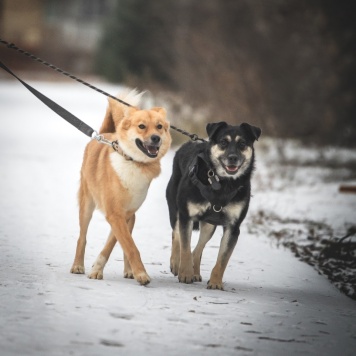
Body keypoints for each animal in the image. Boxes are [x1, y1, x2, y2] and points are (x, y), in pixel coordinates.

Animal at [70, 90, 172, 286]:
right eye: (142, 126)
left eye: (159, 126)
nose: (156, 138)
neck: (133, 162)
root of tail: (103, 134)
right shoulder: (114, 214)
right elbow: (131, 247)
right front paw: (142, 274)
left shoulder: (124, 216)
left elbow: (118, 244)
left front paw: (99, 268)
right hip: (87, 205)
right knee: (82, 237)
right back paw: (78, 265)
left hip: (131, 218)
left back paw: (128, 271)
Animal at [165, 121, 260, 290]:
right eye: (223, 142)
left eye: (242, 144)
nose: (233, 158)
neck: (222, 183)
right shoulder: (186, 216)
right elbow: (185, 247)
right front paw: (185, 274)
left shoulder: (233, 227)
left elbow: (223, 259)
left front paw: (215, 282)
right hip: (176, 210)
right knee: (176, 236)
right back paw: (176, 263)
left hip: (209, 225)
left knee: (198, 249)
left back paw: (195, 272)